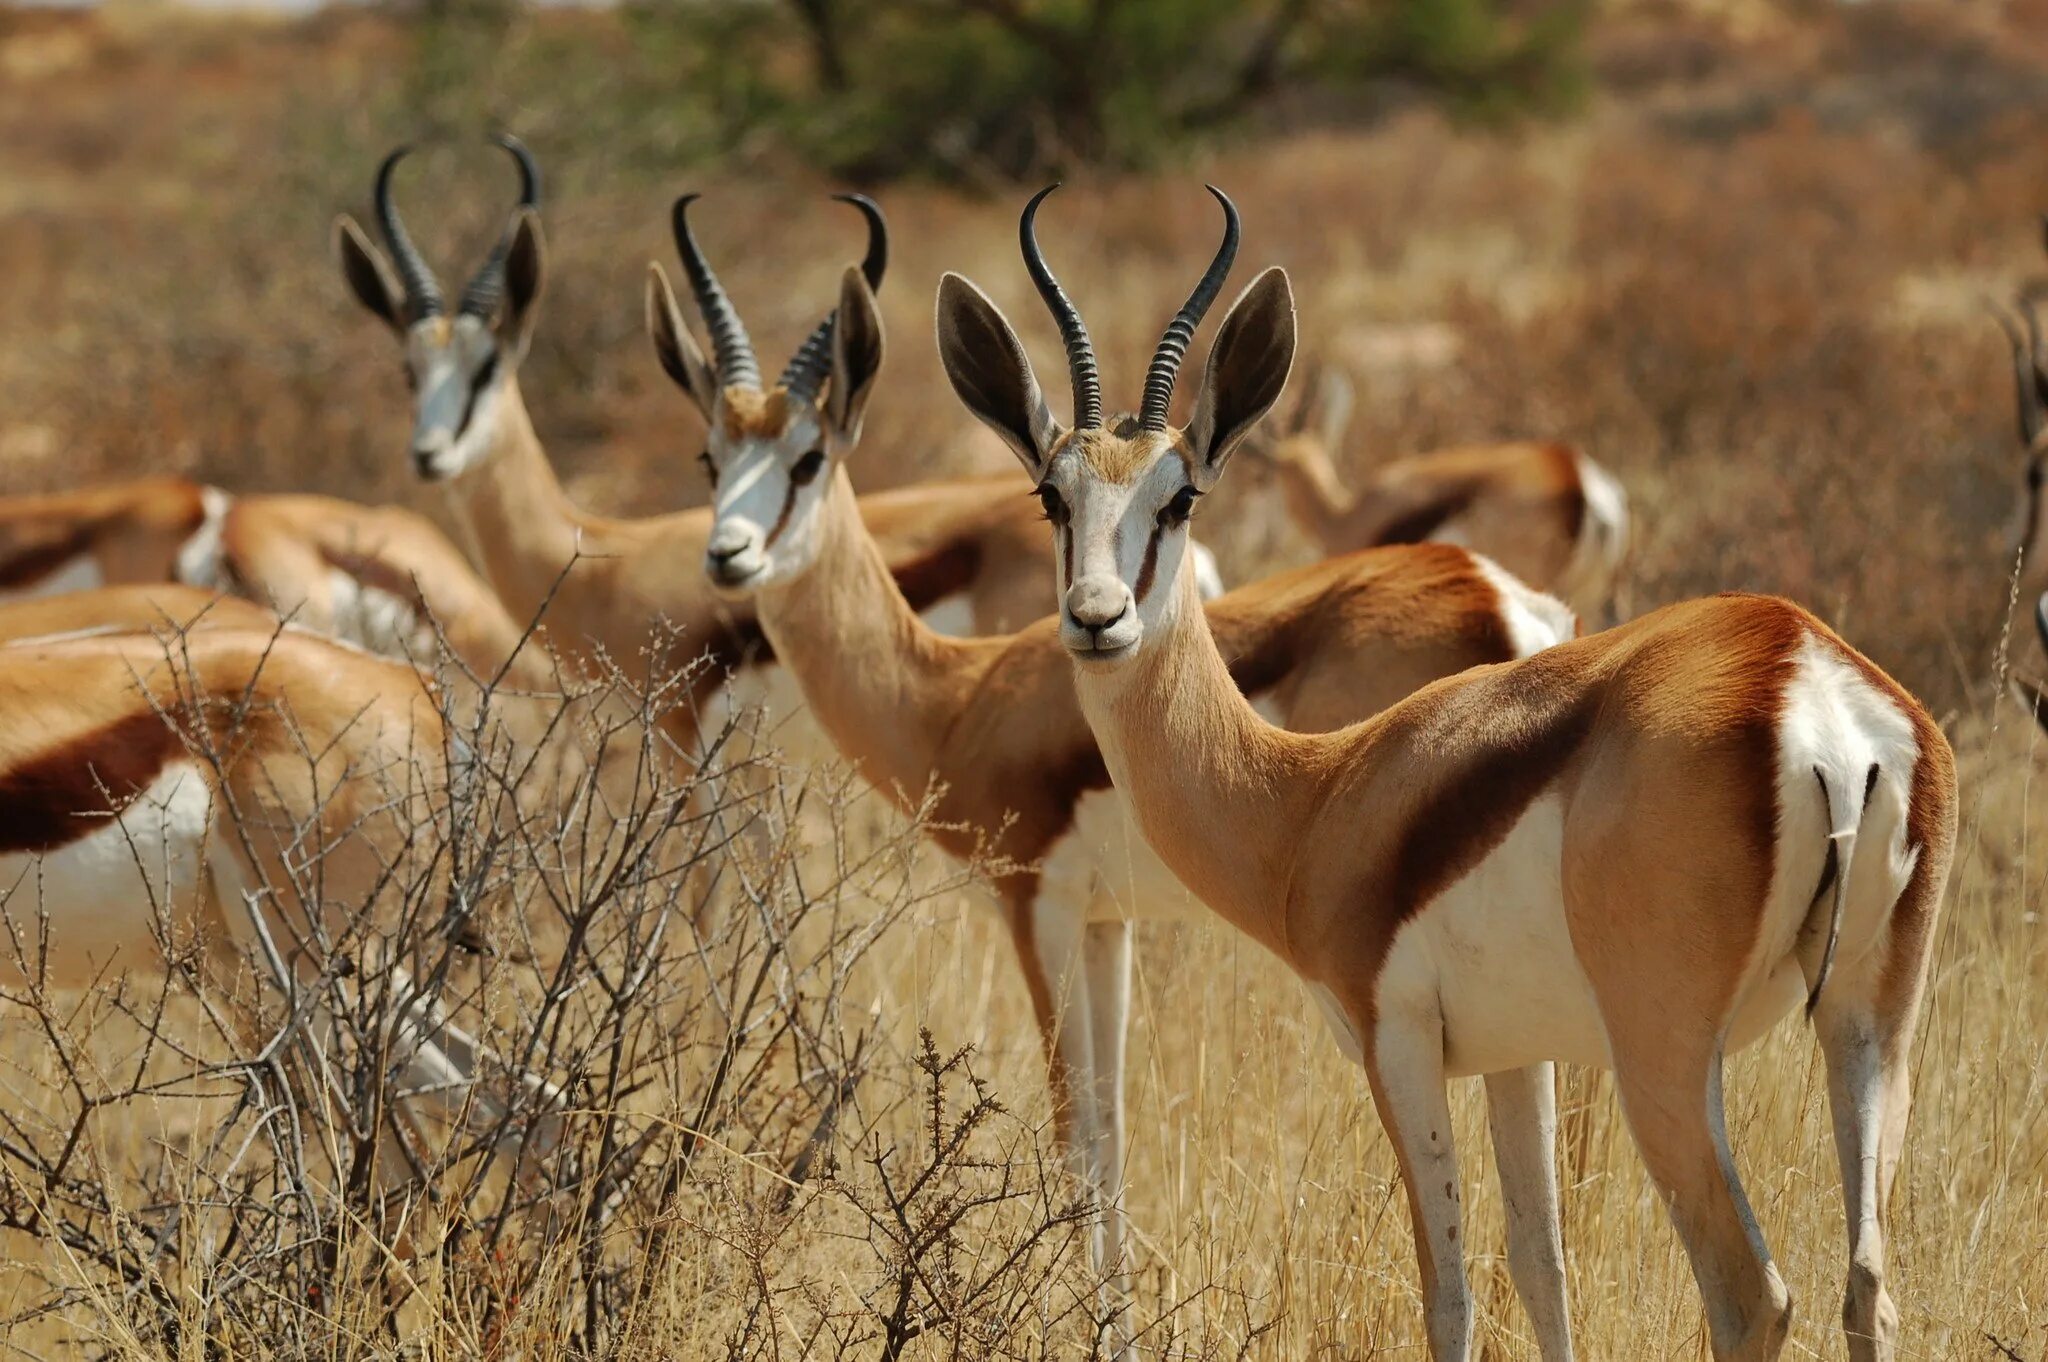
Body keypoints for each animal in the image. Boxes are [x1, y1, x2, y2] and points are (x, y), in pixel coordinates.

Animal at [684, 204, 1564, 1335]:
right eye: (711, 458)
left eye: (804, 461)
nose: (728, 560)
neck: (954, 698)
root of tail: (1498, 597)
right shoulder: (1110, 924)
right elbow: (1110, 1135)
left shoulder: (1037, 908)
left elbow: (1076, 1137)